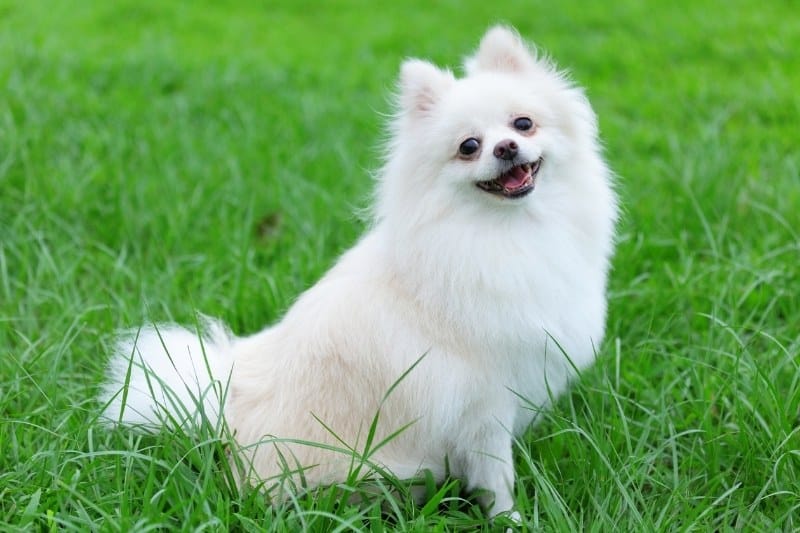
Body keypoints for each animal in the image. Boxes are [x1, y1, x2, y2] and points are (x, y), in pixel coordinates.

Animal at [100, 26, 620, 520]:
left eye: (523, 123)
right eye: (469, 147)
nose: (507, 146)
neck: (504, 232)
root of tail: (225, 410)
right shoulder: (483, 404)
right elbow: (497, 478)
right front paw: (510, 519)